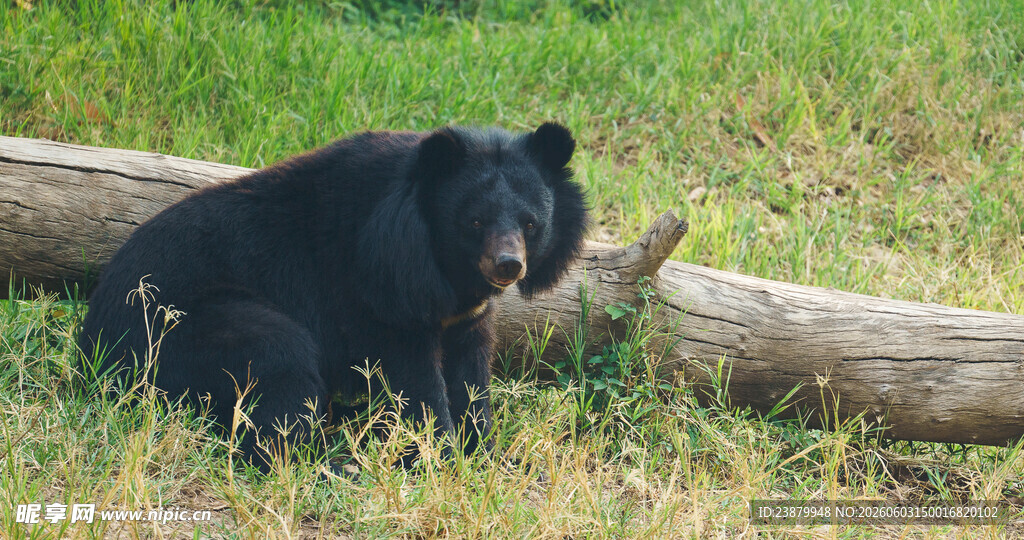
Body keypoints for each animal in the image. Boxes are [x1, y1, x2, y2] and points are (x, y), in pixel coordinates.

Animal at [78, 122, 589, 473]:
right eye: (475, 222)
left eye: (530, 223)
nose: (507, 265)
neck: (443, 269)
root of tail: (93, 342)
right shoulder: (375, 292)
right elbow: (416, 378)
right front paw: (436, 455)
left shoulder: (464, 315)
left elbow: (470, 373)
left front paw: (485, 449)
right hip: (182, 329)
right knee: (277, 362)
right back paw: (331, 459)